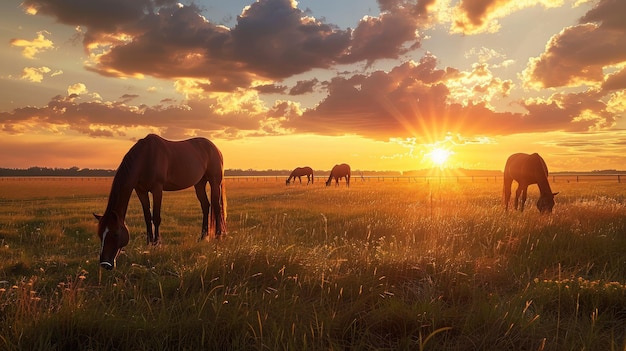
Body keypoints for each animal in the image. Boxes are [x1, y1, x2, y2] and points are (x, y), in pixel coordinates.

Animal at [94, 134, 225, 270]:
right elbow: (147, 217)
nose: (105, 264)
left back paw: (218, 236)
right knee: (205, 205)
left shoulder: (157, 189)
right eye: (100, 234)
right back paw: (203, 237)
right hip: (199, 183)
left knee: (216, 207)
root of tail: (216, 149)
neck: (146, 158)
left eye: (115, 234)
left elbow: (156, 217)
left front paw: (157, 244)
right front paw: (149, 243)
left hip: (215, 182)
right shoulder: (141, 191)